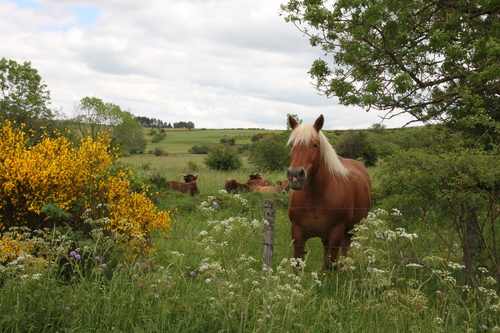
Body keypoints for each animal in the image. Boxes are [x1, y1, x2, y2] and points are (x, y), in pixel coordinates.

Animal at [286, 114, 372, 270]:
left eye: (315, 145)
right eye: (292, 145)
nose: (295, 176)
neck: (316, 197)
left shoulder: (336, 232)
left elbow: (330, 264)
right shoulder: (297, 232)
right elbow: (297, 264)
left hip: (350, 231)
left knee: (345, 250)